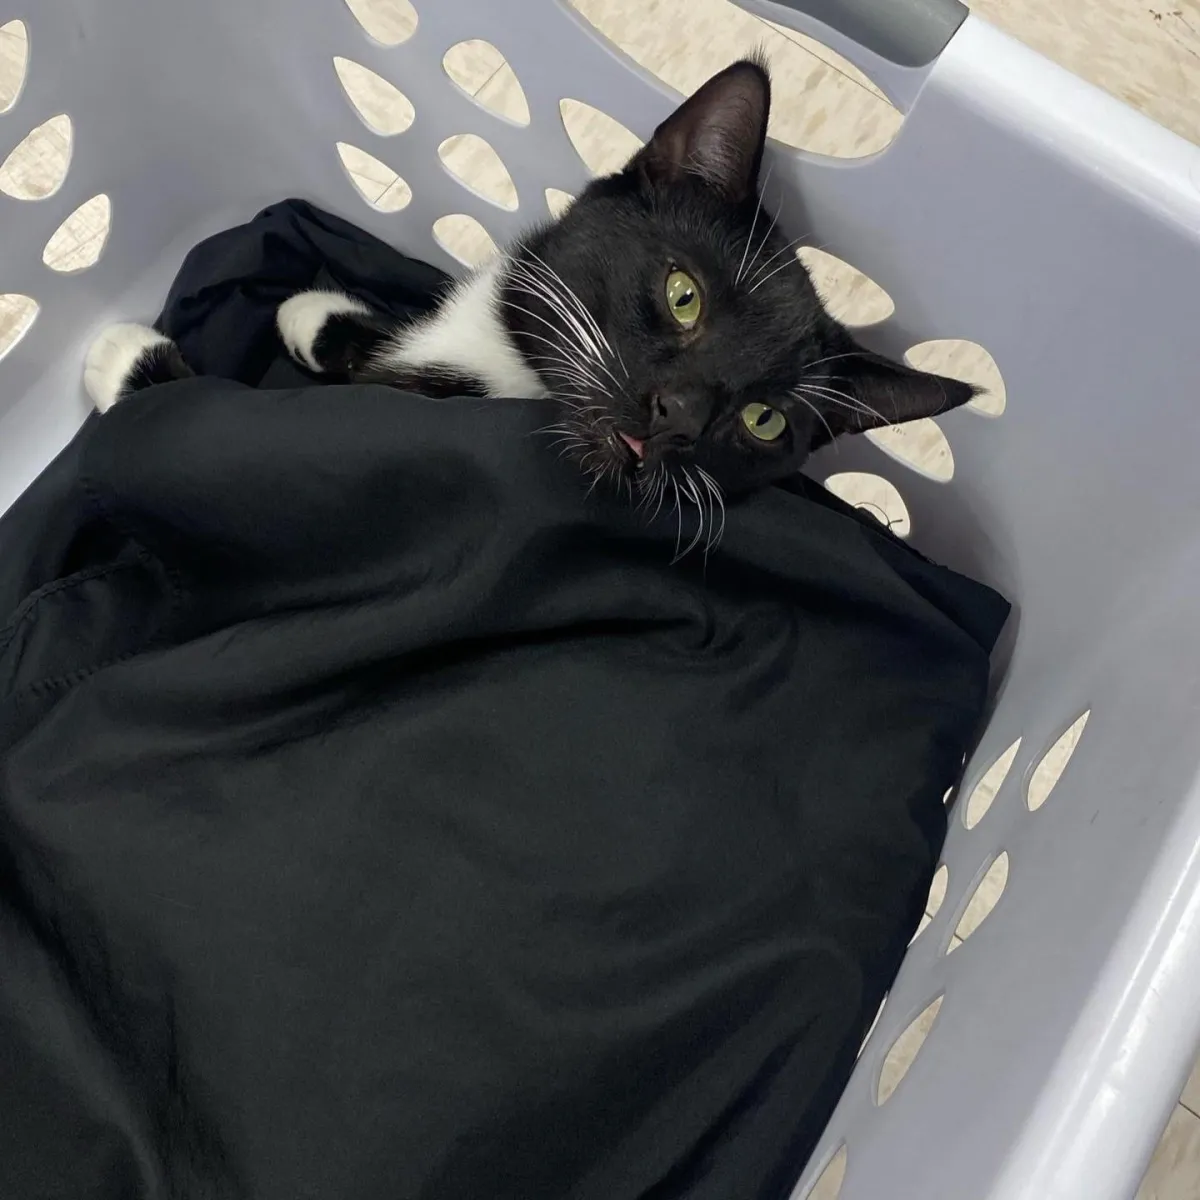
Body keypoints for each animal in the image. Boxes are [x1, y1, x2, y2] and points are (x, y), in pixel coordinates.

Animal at [84, 57, 969, 525]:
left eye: (764, 420)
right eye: (684, 294)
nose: (679, 417)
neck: (515, 371)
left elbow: (214, 411)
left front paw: (123, 356)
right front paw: (319, 315)